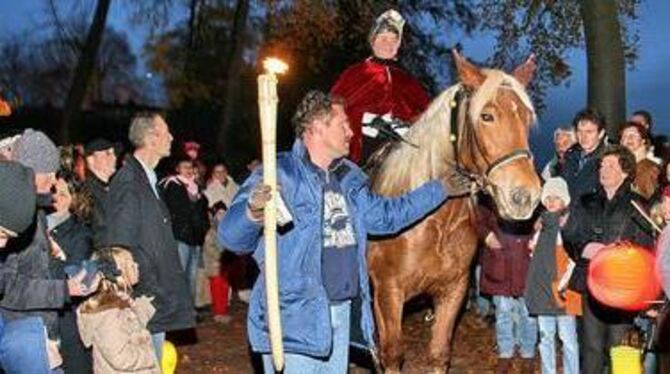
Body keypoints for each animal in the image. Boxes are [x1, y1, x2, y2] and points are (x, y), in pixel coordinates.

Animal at [368, 50, 544, 374]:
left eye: (526, 118)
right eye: (486, 116)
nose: (524, 196)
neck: (433, 219)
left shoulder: (452, 292)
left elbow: (439, 353)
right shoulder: (388, 294)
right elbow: (392, 354)